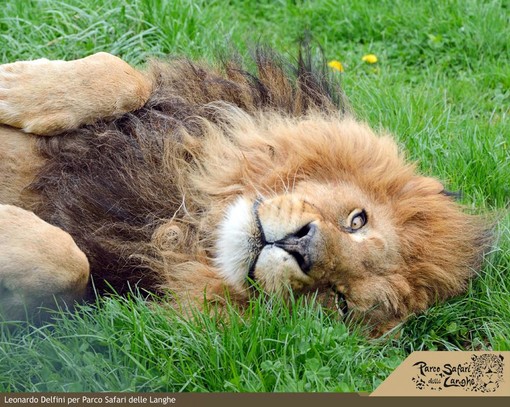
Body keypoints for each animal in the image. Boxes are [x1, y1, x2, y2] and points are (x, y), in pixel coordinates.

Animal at [0, 48, 490, 334]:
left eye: (340, 301)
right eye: (357, 220)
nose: (300, 247)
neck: (181, 215)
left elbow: (66, 256)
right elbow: (121, 73)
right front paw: (12, 83)